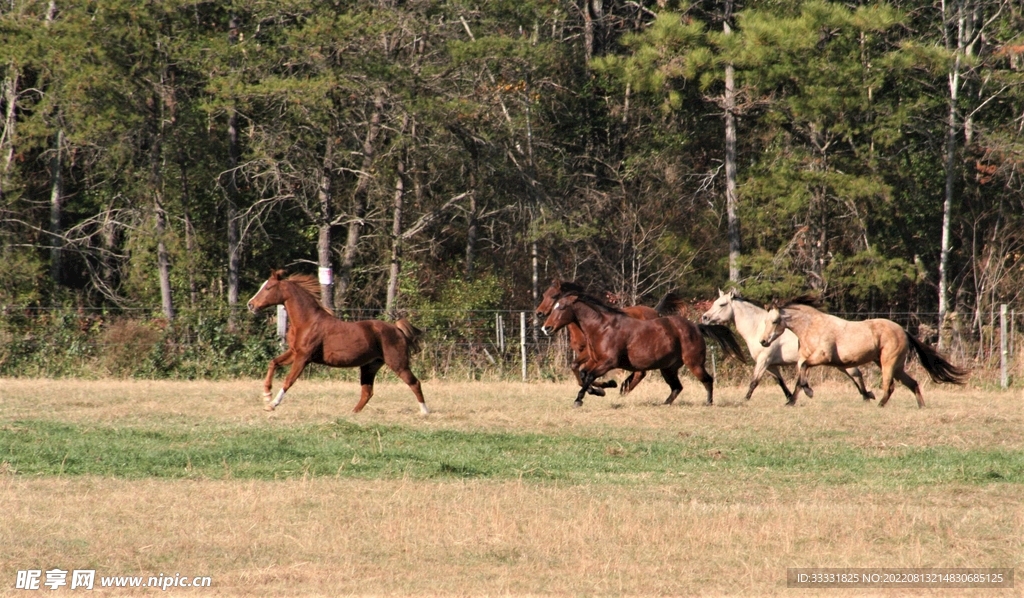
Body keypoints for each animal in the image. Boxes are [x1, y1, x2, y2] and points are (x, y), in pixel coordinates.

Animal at [247, 270, 428, 414]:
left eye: (268, 288)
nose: (251, 305)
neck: (307, 322)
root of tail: (397, 329)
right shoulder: (294, 352)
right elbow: (274, 362)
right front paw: (266, 395)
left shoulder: (303, 357)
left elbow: (289, 380)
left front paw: (272, 404)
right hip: (369, 366)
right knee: (367, 392)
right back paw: (352, 413)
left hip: (398, 363)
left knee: (414, 383)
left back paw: (425, 412)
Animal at [541, 291, 747, 407]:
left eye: (562, 307)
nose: (546, 328)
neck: (602, 327)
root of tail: (696, 327)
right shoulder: (595, 360)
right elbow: (583, 374)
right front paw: (603, 389)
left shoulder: (608, 362)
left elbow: (588, 376)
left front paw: (580, 399)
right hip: (668, 368)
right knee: (677, 387)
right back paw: (664, 403)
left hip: (694, 363)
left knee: (707, 380)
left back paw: (708, 402)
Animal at [701, 289, 874, 403]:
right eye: (714, 302)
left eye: (722, 304)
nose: (705, 317)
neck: (758, 328)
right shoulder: (771, 365)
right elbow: (781, 382)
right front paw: (791, 397)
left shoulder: (763, 361)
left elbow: (754, 382)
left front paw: (745, 400)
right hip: (839, 363)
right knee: (855, 375)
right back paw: (867, 395)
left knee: (856, 374)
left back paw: (867, 396)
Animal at [759, 295, 969, 407]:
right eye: (765, 321)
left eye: (775, 321)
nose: (763, 342)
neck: (811, 327)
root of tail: (903, 331)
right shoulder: (804, 359)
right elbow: (799, 377)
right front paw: (791, 401)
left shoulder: (821, 358)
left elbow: (803, 371)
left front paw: (808, 392)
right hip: (896, 367)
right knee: (913, 383)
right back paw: (921, 407)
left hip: (888, 364)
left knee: (890, 386)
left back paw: (879, 405)